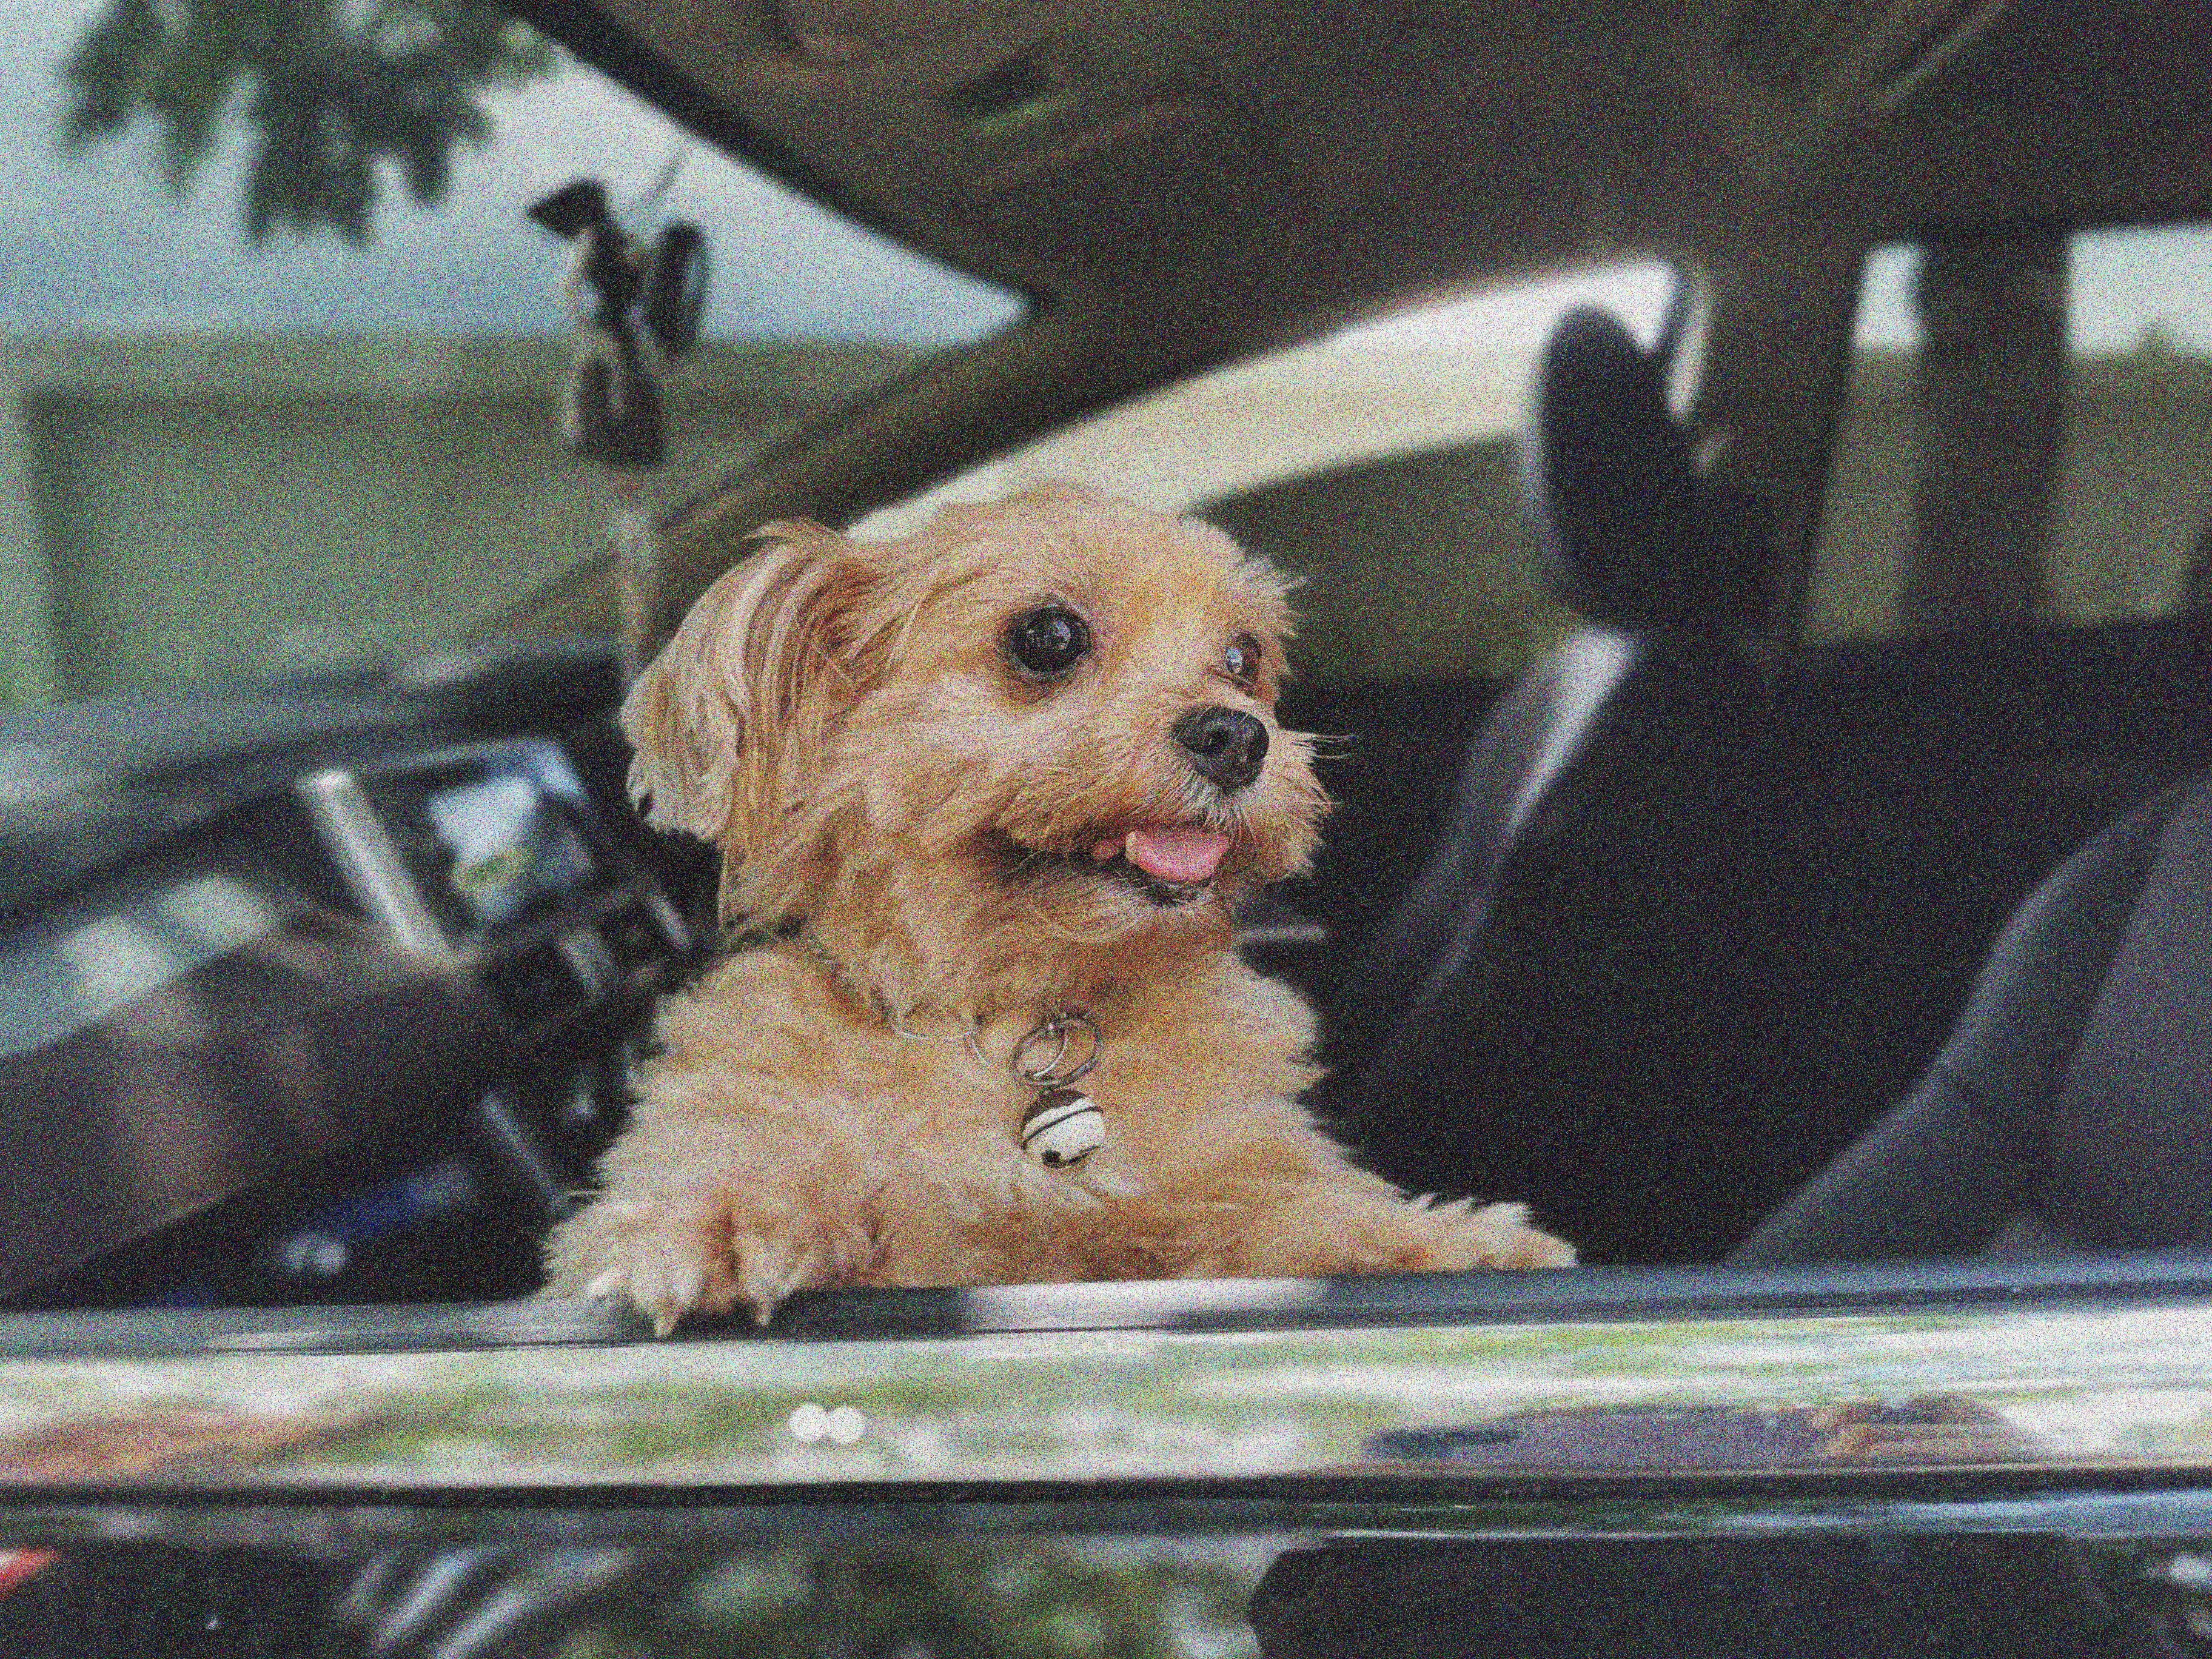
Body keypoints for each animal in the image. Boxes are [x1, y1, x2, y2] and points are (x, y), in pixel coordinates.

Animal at [541, 486, 1566, 1336]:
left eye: (1244, 656)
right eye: (1047, 637)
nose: (1239, 736)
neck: (1024, 1024)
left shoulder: (1206, 1195)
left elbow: (1282, 1214)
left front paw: (1446, 1241)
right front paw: (722, 1216)